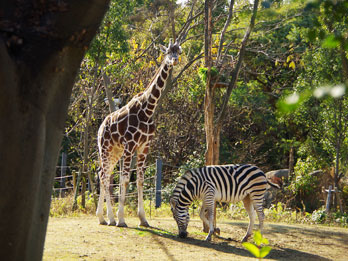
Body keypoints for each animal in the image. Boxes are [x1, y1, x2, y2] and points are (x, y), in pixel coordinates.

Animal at [96, 40, 182, 225]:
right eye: (167, 52)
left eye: (178, 51)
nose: (174, 60)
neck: (148, 110)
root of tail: (100, 127)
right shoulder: (130, 145)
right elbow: (125, 179)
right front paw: (121, 219)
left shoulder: (144, 146)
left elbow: (140, 180)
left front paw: (143, 218)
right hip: (105, 148)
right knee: (105, 176)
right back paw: (110, 218)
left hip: (115, 151)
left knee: (103, 174)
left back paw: (102, 217)